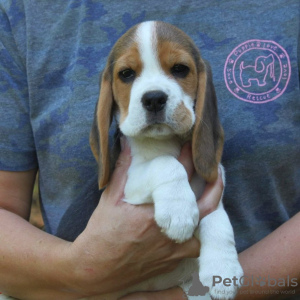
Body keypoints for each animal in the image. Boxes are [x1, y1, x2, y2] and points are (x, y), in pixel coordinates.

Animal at [89, 21, 244, 300]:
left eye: (180, 69)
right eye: (126, 74)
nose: (153, 99)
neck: (167, 141)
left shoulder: (214, 179)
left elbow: (218, 219)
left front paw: (223, 268)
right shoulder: (129, 185)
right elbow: (165, 164)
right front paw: (179, 211)